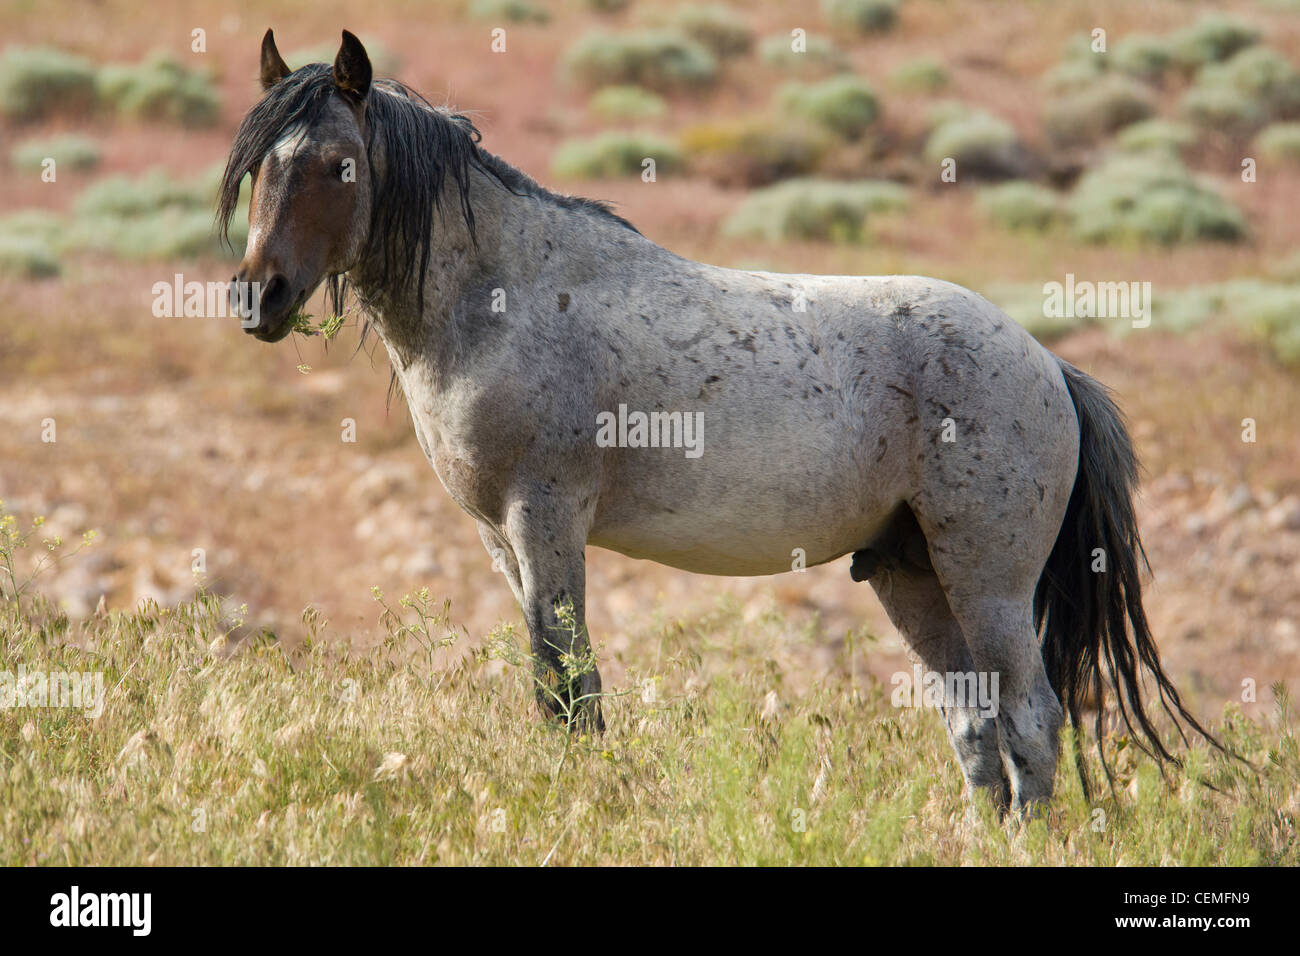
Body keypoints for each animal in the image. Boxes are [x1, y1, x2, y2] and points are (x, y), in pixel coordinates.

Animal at [219, 29, 1217, 812]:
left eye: (338, 166)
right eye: (262, 164)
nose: (256, 296)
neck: (500, 298)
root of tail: (1048, 364)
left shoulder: (545, 522)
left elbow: (569, 693)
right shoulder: (500, 541)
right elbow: (558, 689)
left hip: (989, 581)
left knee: (1032, 723)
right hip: (913, 576)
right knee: (974, 727)